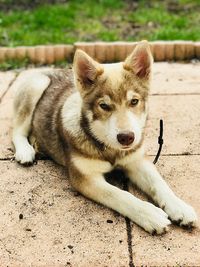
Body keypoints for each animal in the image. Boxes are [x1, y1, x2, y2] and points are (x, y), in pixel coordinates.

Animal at [11, 41, 198, 234]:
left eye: (134, 101)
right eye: (104, 106)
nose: (126, 138)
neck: (110, 150)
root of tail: (47, 70)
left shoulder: (137, 161)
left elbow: (159, 183)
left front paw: (179, 207)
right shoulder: (85, 178)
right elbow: (120, 194)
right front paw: (149, 214)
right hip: (36, 86)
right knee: (17, 130)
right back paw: (25, 151)